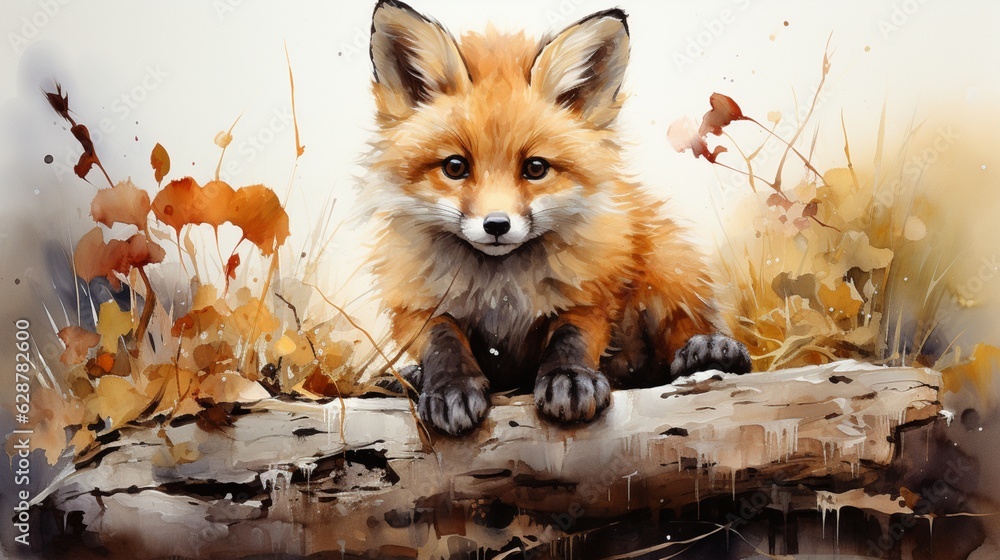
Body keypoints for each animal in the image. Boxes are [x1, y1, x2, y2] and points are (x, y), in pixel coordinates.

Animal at [361, 0, 752, 436]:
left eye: (535, 168)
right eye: (455, 167)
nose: (496, 226)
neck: (501, 291)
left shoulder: (592, 289)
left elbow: (572, 336)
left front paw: (570, 379)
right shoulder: (416, 301)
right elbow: (442, 341)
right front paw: (449, 387)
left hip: (667, 264)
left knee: (677, 336)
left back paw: (710, 349)